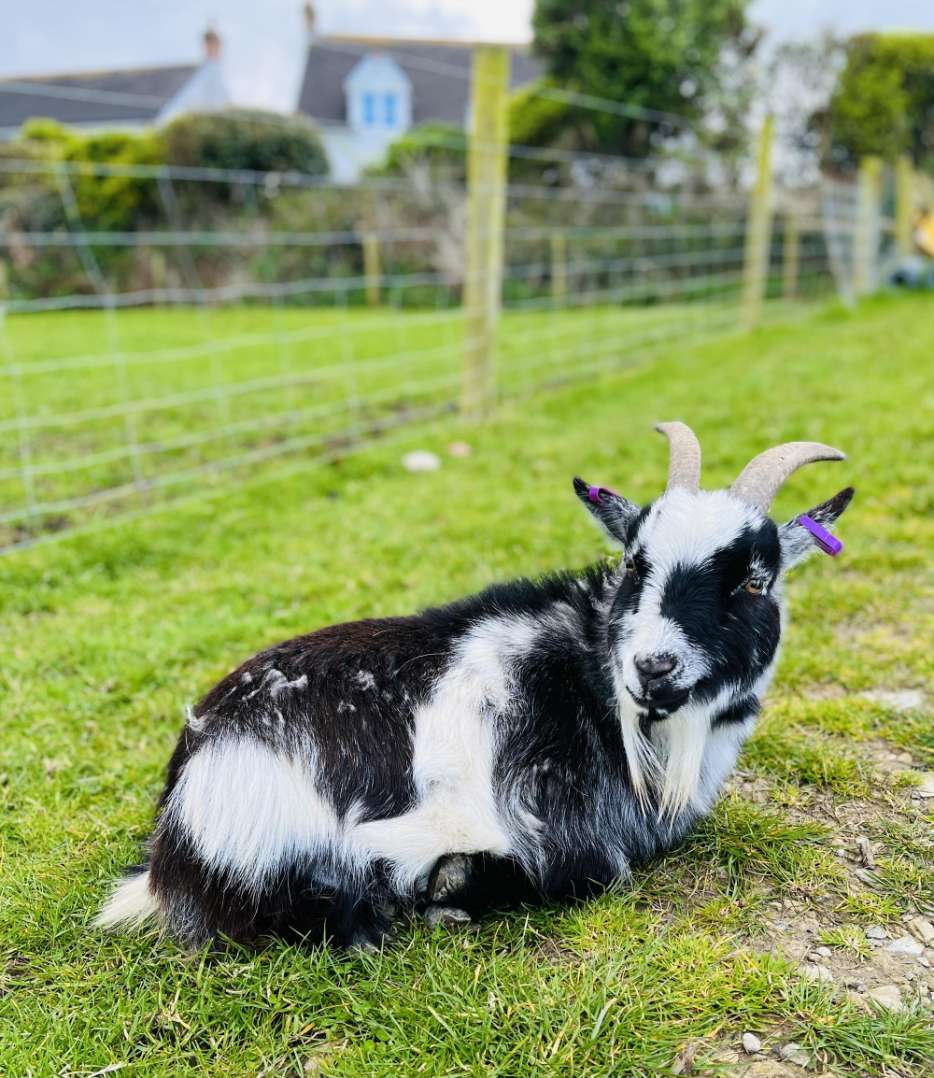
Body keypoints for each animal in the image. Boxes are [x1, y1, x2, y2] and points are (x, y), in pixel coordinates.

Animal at [95, 422, 853, 950]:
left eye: (755, 581)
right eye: (636, 563)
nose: (653, 667)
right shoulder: (552, 827)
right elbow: (598, 868)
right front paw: (454, 884)